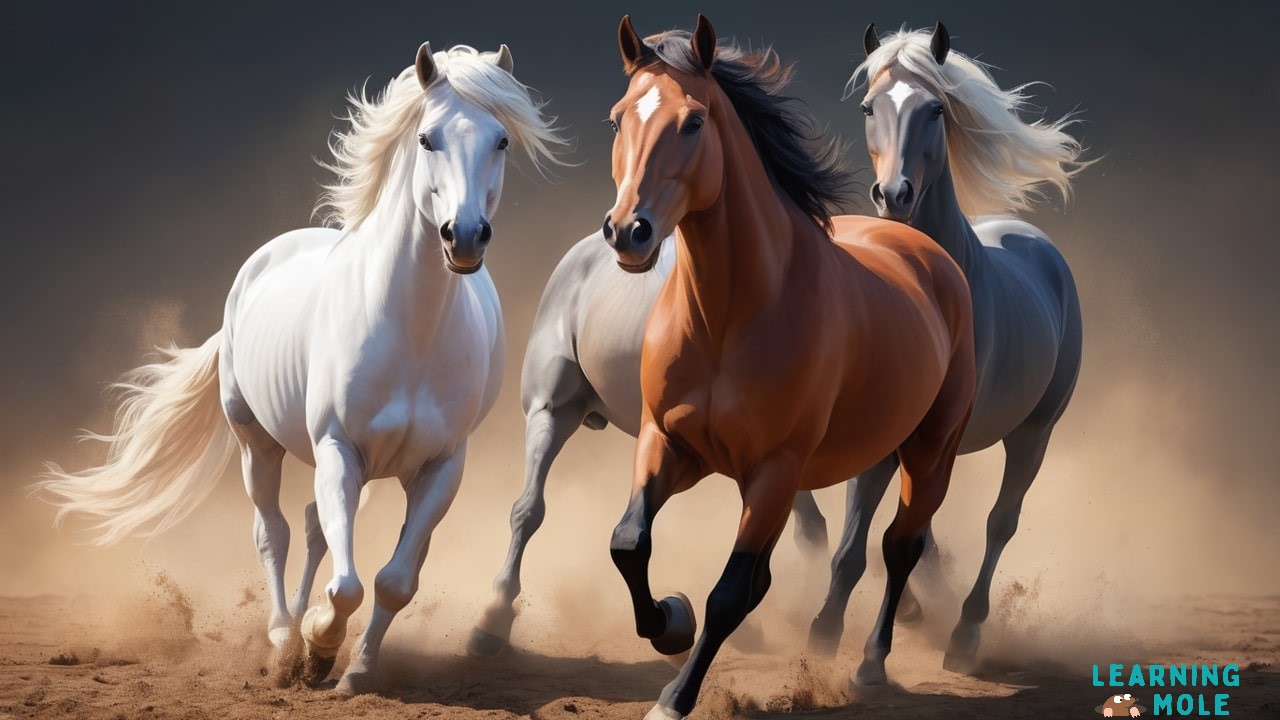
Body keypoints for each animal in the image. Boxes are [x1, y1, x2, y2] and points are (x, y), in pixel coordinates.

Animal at [36, 42, 565, 694]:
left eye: (501, 141)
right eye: (427, 138)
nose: (463, 237)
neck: (411, 334)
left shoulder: (442, 467)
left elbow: (394, 581)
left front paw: (355, 670)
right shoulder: (339, 448)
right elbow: (347, 585)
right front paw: (316, 646)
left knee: (318, 532)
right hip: (257, 442)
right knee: (276, 532)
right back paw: (284, 638)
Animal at [599, 16, 976, 718]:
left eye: (694, 123)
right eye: (617, 119)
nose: (628, 232)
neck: (729, 318)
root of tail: (926, 251)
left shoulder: (774, 471)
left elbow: (728, 594)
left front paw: (674, 696)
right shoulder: (667, 442)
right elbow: (629, 543)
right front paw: (670, 620)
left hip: (929, 449)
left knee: (900, 546)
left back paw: (871, 666)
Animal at [806, 22, 1088, 672]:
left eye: (935, 109)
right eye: (869, 107)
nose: (894, 195)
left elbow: (901, 540)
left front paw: (873, 656)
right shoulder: (885, 434)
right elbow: (855, 546)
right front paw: (826, 632)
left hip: (1034, 433)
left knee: (1000, 524)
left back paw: (964, 634)